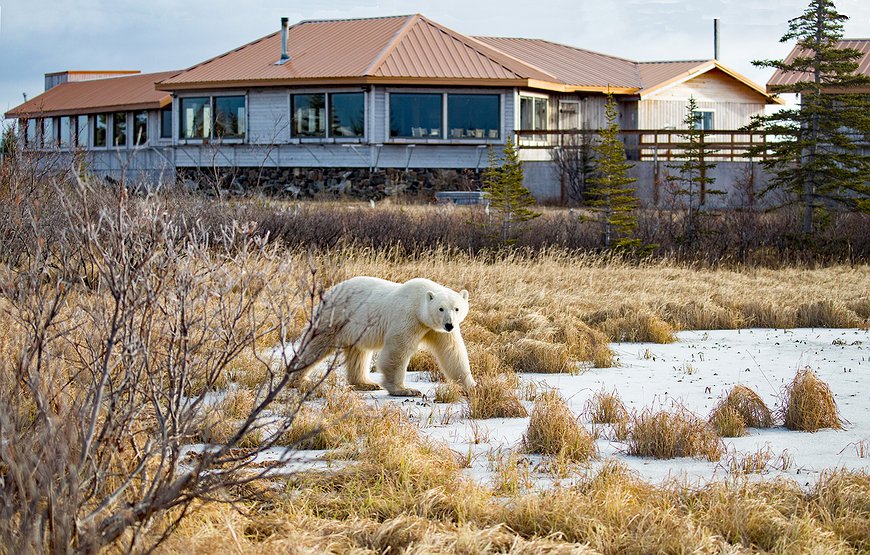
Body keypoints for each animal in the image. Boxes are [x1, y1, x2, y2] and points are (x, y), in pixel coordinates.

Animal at [293, 276, 476, 396]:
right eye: (440, 308)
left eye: (457, 308)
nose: (449, 325)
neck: (419, 304)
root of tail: (331, 291)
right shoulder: (408, 318)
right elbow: (398, 349)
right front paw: (405, 390)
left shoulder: (435, 330)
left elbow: (452, 352)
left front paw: (471, 386)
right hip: (335, 317)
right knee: (316, 344)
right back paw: (300, 378)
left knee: (358, 353)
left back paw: (365, 383)